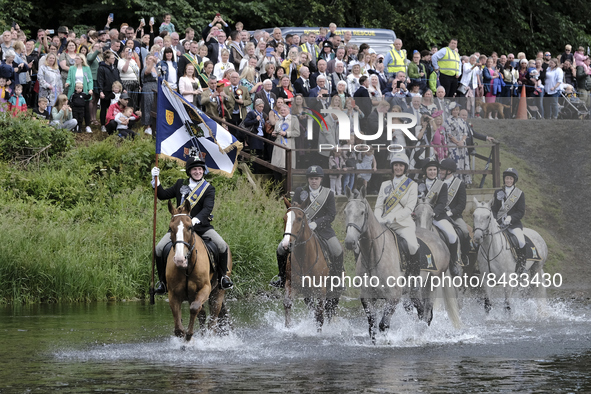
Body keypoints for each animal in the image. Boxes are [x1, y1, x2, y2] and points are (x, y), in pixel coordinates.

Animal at [168, 200, 232, 342]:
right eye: (170, 228)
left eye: (190, 227)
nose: (179, 259)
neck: (187, 267)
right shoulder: (173, 294)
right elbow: (178, 328)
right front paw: (185, 337)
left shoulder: (205, 288)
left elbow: (194, 308)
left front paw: (189, 335)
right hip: (193, 295)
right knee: (202, 314)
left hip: (217, 292)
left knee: (212, 320)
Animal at [282, 197, 338, 330]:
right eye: (284, 219)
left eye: (299, 218)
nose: (286, 245)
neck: (304, 259)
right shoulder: (291, 284)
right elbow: (287, 304)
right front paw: (288, 326)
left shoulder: (321, 289)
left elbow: (320, 317)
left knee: (330, 310)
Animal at [342, 186, 462, 344]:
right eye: (345, 211)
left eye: (362, 212)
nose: (350, 242)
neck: (373, 255)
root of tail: (440, 241)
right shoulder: (367, 297)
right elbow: (372, 326)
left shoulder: (393, 297)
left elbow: (383, 324)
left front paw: (387, 342)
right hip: (413, 291)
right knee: (420, 312)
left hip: (432, 284)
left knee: (427, 314)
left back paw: (419, 338)